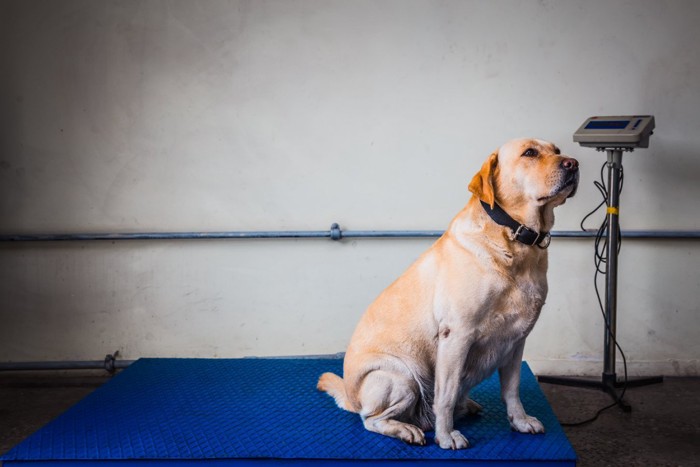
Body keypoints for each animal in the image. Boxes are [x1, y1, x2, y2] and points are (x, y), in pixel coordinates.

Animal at [318, 138, 580, 450]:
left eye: (556, 150)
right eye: (530, 153)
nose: (573, 164)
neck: (514, 243)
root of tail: (351, 395)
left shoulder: (517, 340)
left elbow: (512, 390)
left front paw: (520, 421)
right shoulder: (457, 335)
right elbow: (445, 395)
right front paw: (446, 436)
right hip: (401, 377)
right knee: (372, 419)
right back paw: (407, 429)